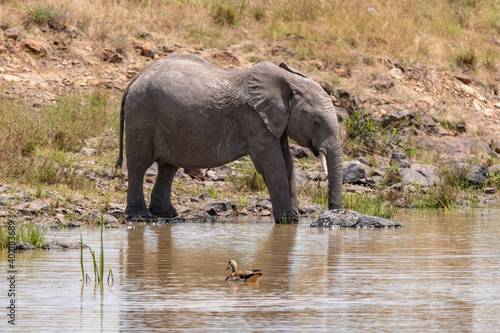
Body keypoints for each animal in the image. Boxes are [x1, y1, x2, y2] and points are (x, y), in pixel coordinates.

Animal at [116, 53, 344, 222]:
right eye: (316, 122)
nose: (331, 213)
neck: (287, 80)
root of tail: (135, 79)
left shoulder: (276, 123)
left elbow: (287, 164)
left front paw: (292, 222)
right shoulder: (254, 120)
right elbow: (273, 166)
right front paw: (287, 222)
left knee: (168, 166)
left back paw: (166, 214)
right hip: (142, 115)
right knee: (139, 164)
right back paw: (140, 216)